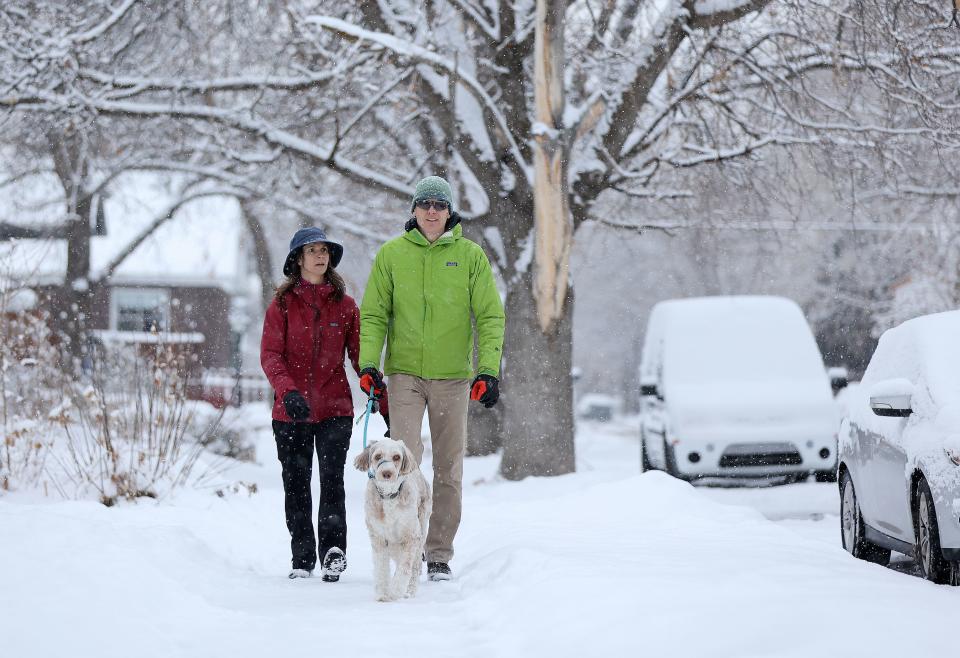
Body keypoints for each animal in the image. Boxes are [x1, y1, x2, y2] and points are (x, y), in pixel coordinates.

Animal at [352, 436, 432, 600]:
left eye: (396, 457)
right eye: (378, 456)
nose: (387, 473)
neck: (389, 496)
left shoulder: (411, 535)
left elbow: (405, 567)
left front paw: (395, 591)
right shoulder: (378, 536)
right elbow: (381, 567)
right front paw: (383, 593)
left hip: (421, 529)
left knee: (416, 565)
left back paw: (410, 591)